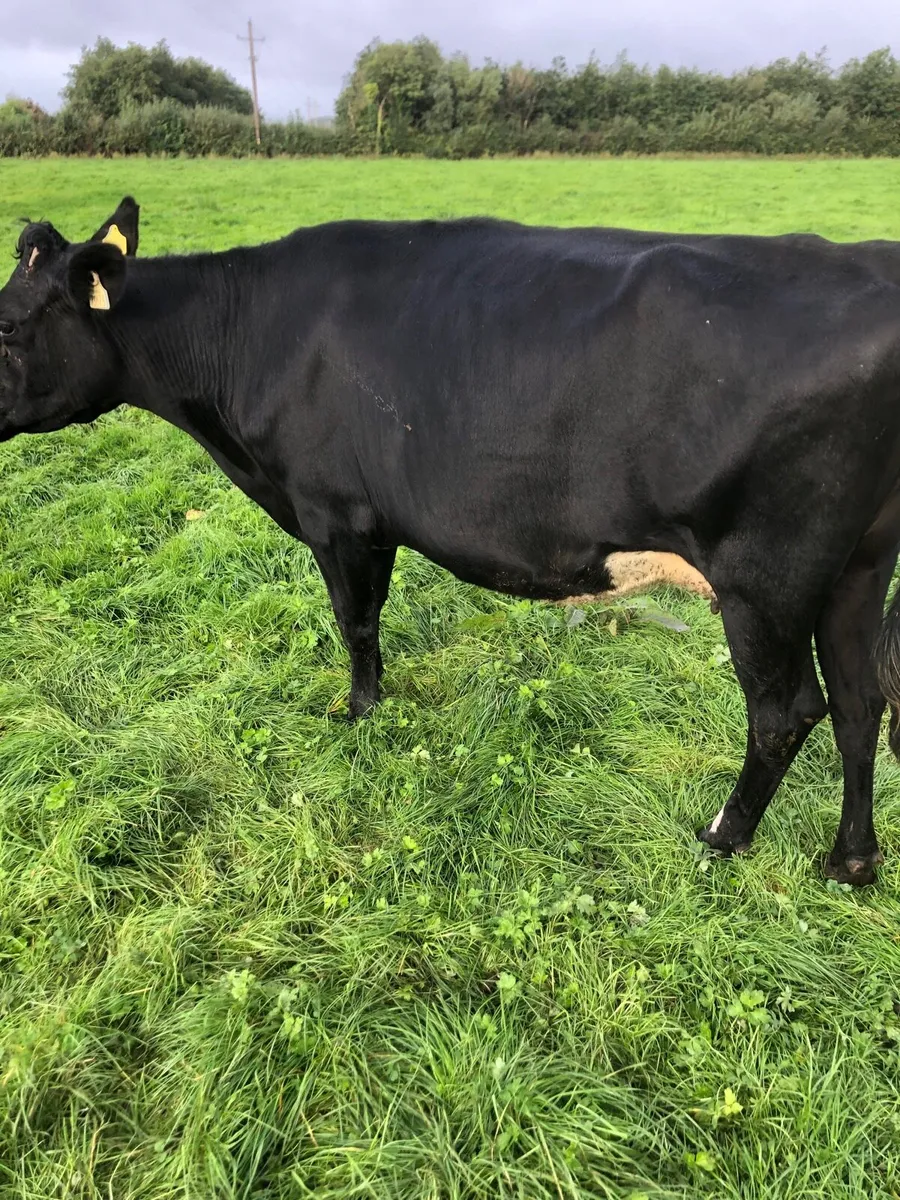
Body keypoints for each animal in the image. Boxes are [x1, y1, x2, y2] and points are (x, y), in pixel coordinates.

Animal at [2, 196, 900, 888]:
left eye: (8, 326)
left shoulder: (334, 512)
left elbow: (355, 621)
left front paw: (358, 711)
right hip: (857, 568)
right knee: (862, 703)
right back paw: (851, 862)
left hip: (763, 575)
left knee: (787, 712)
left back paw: (723, 836)